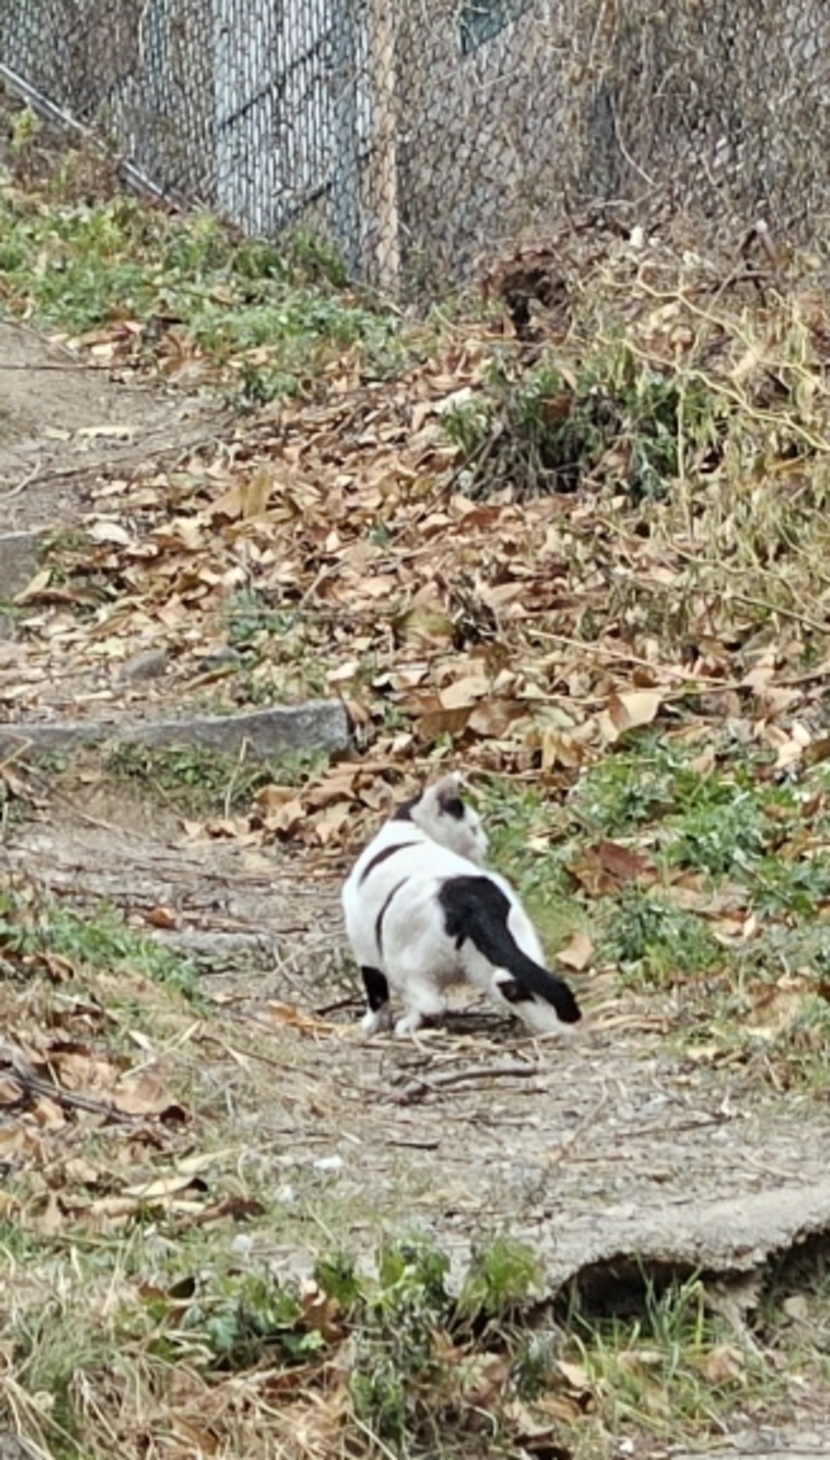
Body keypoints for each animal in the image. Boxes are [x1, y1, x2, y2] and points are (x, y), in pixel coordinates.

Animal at [342, 771, 582, 1037]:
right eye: (473, 829)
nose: (486, 844)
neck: (409, 830)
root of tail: (470, 899)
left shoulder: (364, 945)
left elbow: (376, 992)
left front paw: (372, 1024)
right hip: (505, 947)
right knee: (521, 982)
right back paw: (554, 1028)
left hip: (406, 960)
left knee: (428, 1002)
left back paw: (409, 1024)